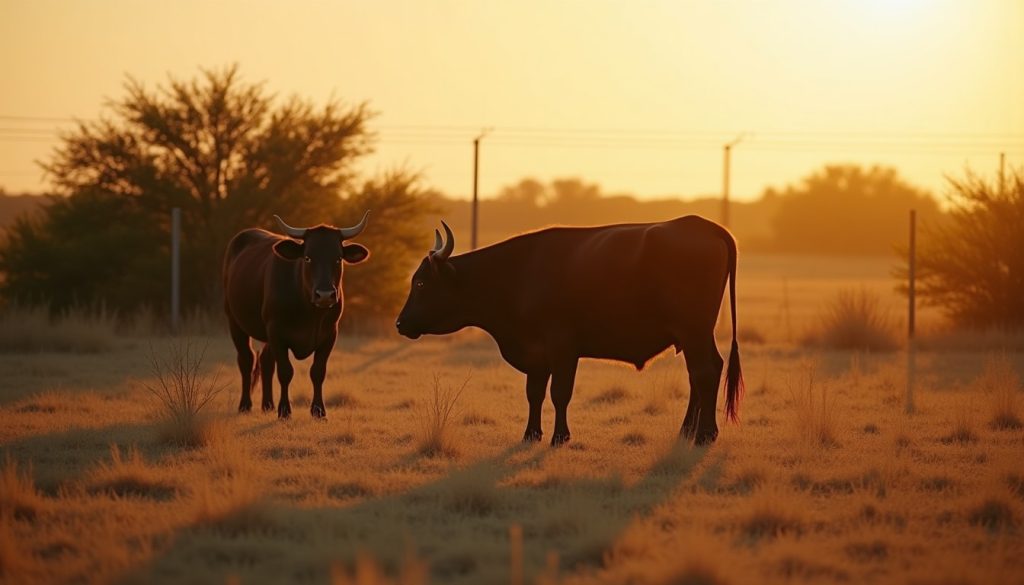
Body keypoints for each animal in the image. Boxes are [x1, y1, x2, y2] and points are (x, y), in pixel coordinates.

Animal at [223, 212, 370, 419]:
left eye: (338, 258)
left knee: (266, 361)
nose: (325, 295)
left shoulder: (329, 335)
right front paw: (284, 410)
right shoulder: (277, 332)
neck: (311, 313)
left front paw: (318, 410)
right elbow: (285, 372)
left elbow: (318, 371)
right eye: (307, 258)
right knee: (246, 360)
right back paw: (245, 405)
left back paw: (267, 405)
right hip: (235, 322)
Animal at [395, 216, 743, 446]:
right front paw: (531, 433)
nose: (400, 323)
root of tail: (700, 224)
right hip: (694, 335)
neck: (518, 274)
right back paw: (687, 431)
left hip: (694, 331)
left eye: (421, 283)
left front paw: (559, 436)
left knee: (705, 373)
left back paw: (705, 434)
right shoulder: (536, 354)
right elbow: (534, 394)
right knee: (702, 373)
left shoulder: (562, 347)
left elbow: (559, 393)